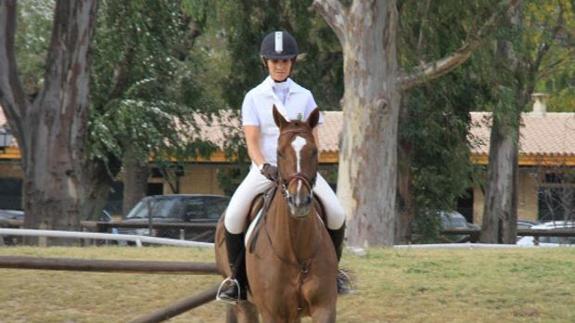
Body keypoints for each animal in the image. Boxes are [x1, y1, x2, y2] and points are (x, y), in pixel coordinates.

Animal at [216, 105, 338, 322]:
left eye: (315, 151)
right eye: (279, 152)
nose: (299, 202)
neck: (296, 251)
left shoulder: (324, 308)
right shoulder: (273, 313)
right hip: (245, 305)